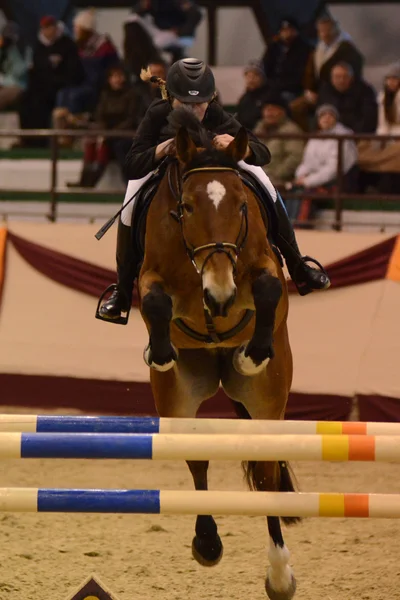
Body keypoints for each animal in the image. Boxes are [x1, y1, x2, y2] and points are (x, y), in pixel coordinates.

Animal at [138, 112, 300, 600]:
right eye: (186, 208)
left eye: (242, 207)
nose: (221, 295)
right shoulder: (151, 276)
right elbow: (155, 301)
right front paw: (161, 350)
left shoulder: (263, 265)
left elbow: (267, 288)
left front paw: (252, 352)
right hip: (179, 399)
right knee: (197, 458)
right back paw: (208, 543)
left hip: (267, 400)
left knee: (266, 475)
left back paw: (279, 573)